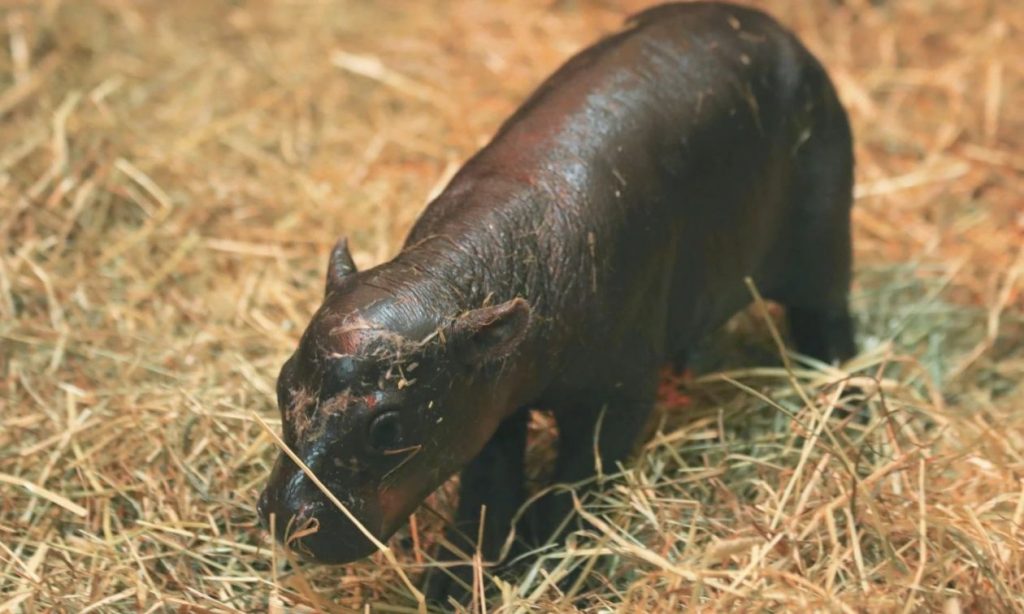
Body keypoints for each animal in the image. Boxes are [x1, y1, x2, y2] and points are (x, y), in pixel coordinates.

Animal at [258, 0, 856, 601]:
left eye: (387, 427)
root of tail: (776, 29)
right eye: (283, 384)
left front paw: (550, 568)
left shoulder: (615, 397)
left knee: (829, 321)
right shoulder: (489, 401)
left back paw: (845, 404)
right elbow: (487, 489)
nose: (288, 519)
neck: (452, 277)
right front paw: (454, 585)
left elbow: (577, 481)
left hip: (823, 244)